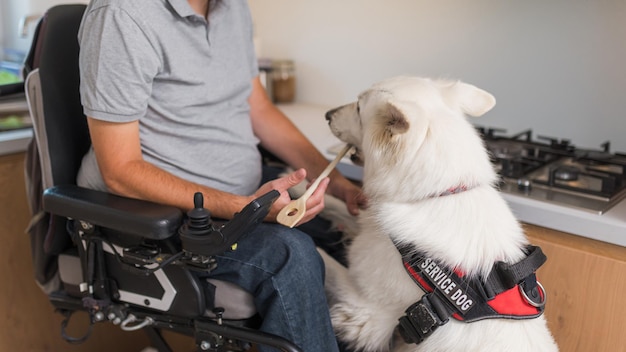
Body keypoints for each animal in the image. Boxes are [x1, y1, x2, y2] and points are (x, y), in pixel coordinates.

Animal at [320, 77, 560, 352]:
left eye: (359, 108)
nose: (327, 115)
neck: (440, 194)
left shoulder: (364, 311)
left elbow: (322, 259)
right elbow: (336, 205)